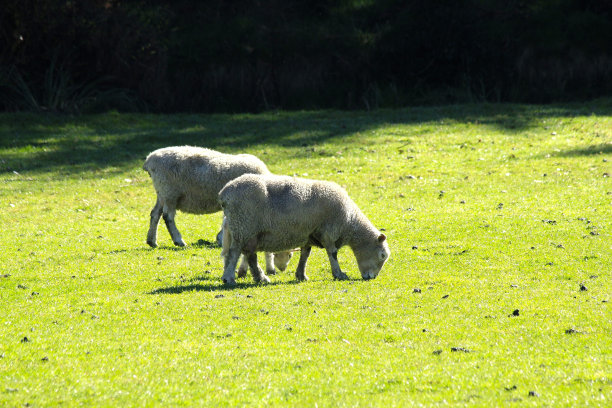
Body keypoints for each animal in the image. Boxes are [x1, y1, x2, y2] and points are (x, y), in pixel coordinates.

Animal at [143, 145, 292, 276]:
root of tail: (149, 159)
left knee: (155, 214)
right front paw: (220, 238)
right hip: (170, 192)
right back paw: (178, 240)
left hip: (162, 193)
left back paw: (152, 241)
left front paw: (220, 238)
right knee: (168, 216)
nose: (282, 268)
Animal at [218, 174, 390, 286]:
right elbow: (333, 254)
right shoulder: (329, 233)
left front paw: (301, 275)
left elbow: (305, 255)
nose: (372, 277)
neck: (349, 221)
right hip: (243, 227)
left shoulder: (308, 234)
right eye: (382, 256)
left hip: (248, 232)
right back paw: (229, 279)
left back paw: (261, 278)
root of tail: (224, 193)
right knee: (234, 253)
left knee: (249, 255)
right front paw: (339, 274)